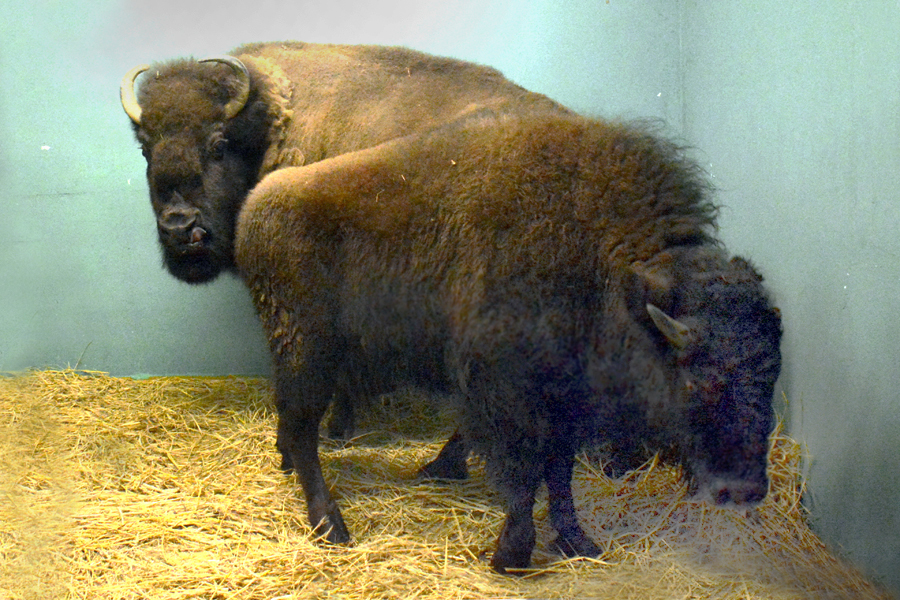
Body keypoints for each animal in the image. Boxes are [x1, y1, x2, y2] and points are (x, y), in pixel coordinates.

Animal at [236, 110, 784, 576]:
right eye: (696, 377)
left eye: (772, 374)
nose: (743, 490)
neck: (603, 267)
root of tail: (256, 206)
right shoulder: (509, 399)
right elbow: (524, 477)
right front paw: (512, 555)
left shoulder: (565, 407)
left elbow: (559, 478)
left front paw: (577, 542)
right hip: (306, 356)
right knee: (304, 432)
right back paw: (331, 525)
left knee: (293, 424)